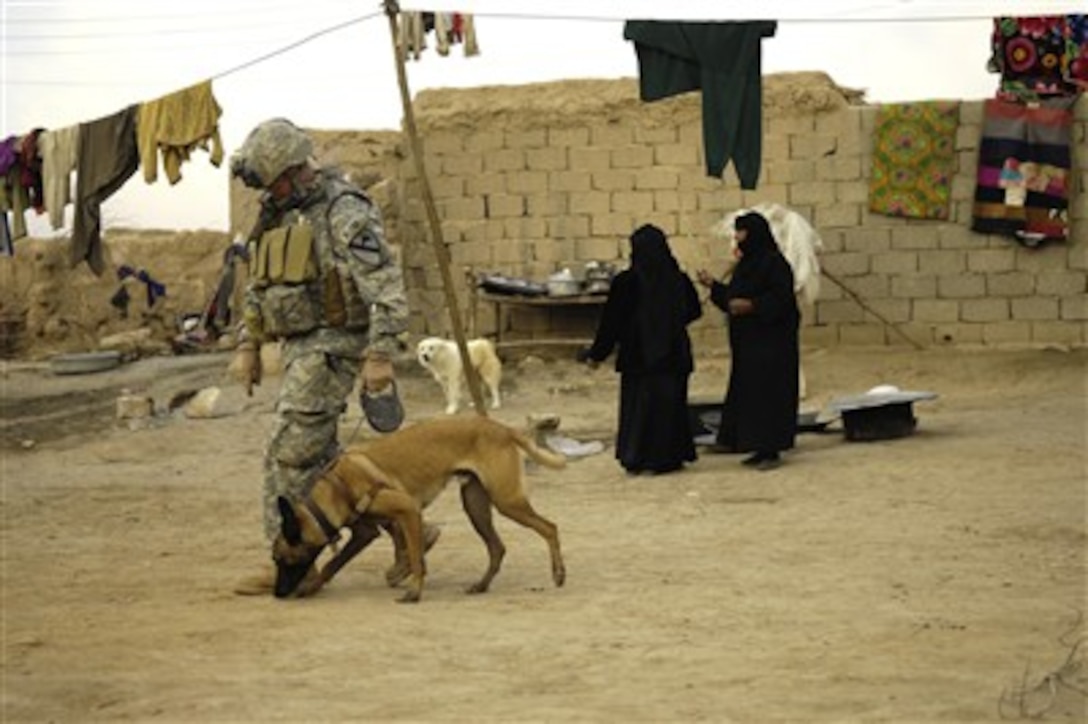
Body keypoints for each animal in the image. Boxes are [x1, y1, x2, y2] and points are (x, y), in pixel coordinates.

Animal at [272, 415, 570, 600]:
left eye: (282, 559)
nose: (278, 593)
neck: (337, 486)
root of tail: (502, 428)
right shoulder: (369, 529)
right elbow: (335, 562)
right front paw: (312, 586)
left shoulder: (407, 511)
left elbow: (415, 557)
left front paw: (414, 591)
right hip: (475, 506)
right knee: (497, 548)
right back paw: (481, 585)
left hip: (506, 501)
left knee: (550, 527)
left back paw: (558, 573)